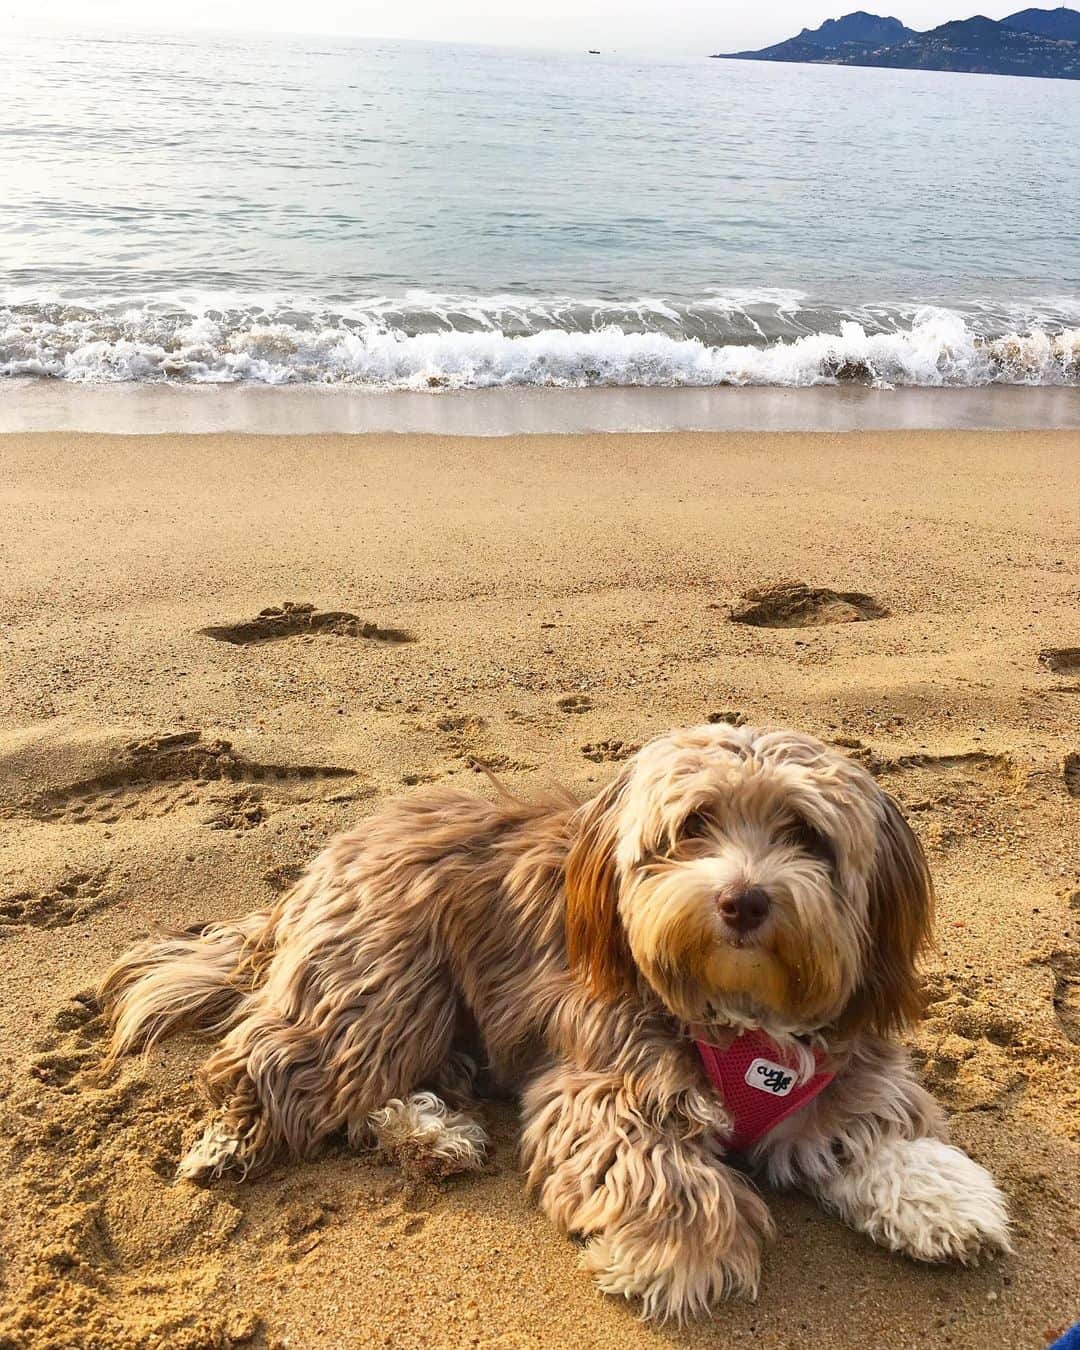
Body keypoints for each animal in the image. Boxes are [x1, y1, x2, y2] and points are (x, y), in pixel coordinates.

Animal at [97, 723, 1009, 1323]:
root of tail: (329, 856)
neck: (735, 1017)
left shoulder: (837, 1065)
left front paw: (941, 1196)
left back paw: (429, 1134)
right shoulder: (604, 1081)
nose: (743, 900)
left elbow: (875, 1127)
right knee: (274, 1063)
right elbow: (665, 1174)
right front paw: (679, 1253)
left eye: (807, 835)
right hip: (385, 984)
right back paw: (240, 1137)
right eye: (694, 825)